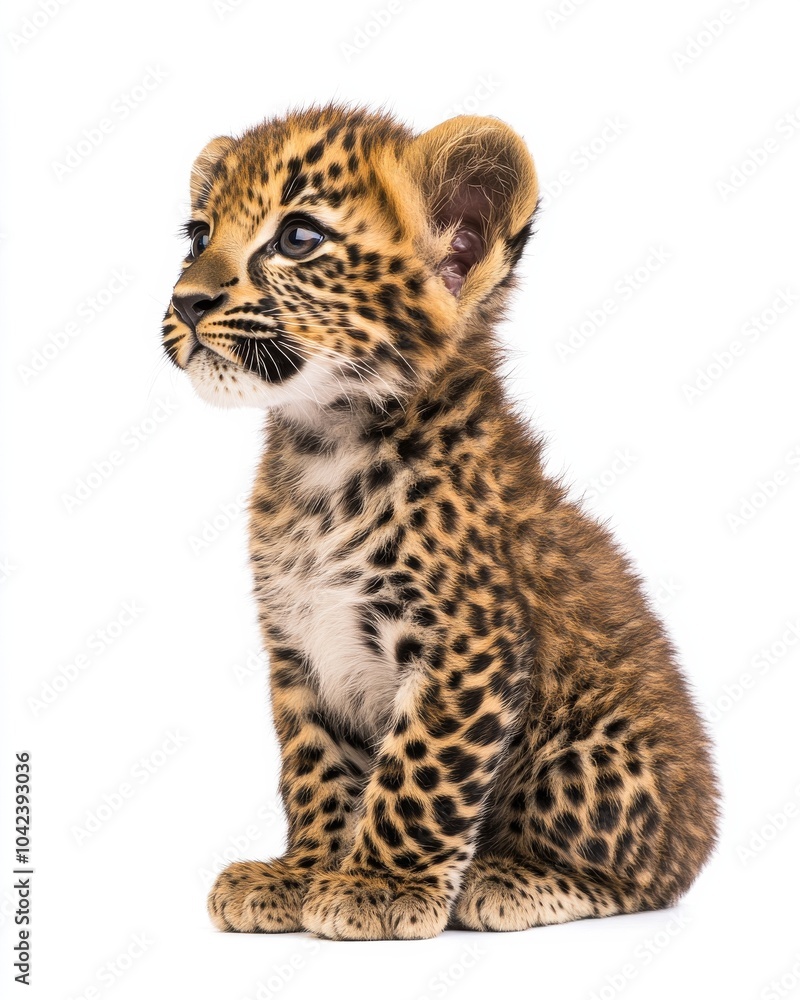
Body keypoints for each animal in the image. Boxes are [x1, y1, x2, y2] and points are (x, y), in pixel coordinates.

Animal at [162, 103, 719, 941]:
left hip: (590, 757)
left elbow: (419, 771)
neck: (325, 448)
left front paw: (378, 886)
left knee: (644, 877)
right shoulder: (300, 647)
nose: (187, 302)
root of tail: (703, 815)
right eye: (197, 237)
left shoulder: (466, 640)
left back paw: (507, 878)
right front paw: (304, 872)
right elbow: (315, 766)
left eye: (298, 238)